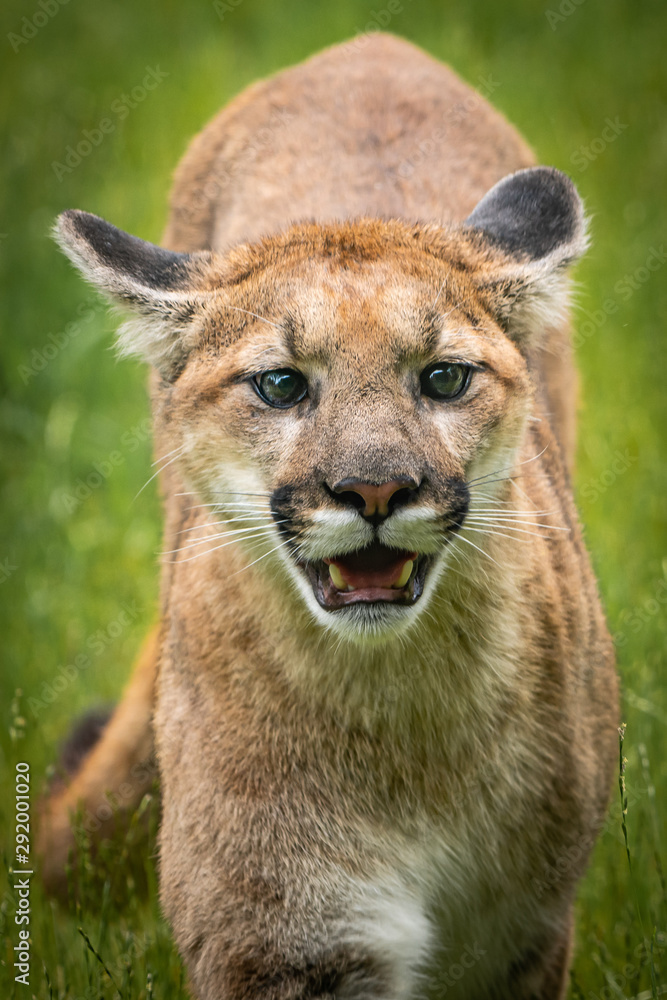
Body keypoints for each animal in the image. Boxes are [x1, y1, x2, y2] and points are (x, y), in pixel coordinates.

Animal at [42, 34, 618, 998]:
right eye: (280, 385)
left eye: (444, 377)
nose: (375, 490)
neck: (393, 712)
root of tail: (367, 47)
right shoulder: (280, 940)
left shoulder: (517, 934)